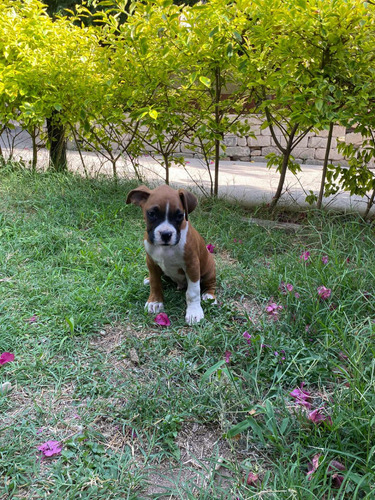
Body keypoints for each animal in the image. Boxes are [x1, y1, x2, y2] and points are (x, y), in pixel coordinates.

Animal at [126, 185, 216, 324]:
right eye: (151, 214)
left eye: (179, 215)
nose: (166, 234)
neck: (165, 249)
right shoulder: (151, 262)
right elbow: (155, 283)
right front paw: (155, 301)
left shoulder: (192, 266)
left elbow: (193, 292)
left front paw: (194, 311)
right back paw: (148, 279)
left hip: (209, 269)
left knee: (210, 284)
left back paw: (209, 295)